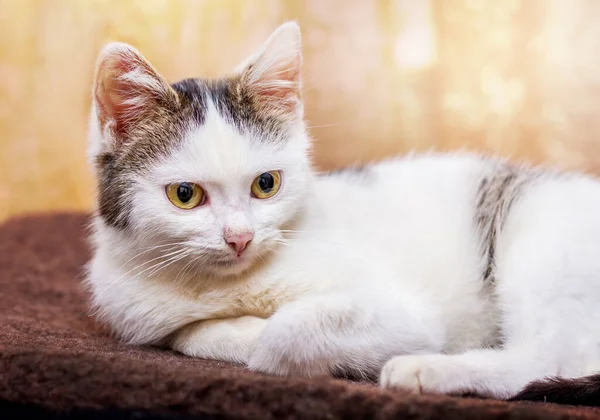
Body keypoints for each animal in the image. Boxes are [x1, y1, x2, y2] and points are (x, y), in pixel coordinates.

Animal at [84, 21, 600, 402]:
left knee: (542, 362)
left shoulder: (406, 311)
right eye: (185, 195)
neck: (228, 285)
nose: (239, 238)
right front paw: (233, 329)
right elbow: (188, 334)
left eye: (266, 184)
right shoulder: (136, 312)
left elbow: (285, 333)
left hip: (539, 240)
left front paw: (274, 342)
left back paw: (422, 370)